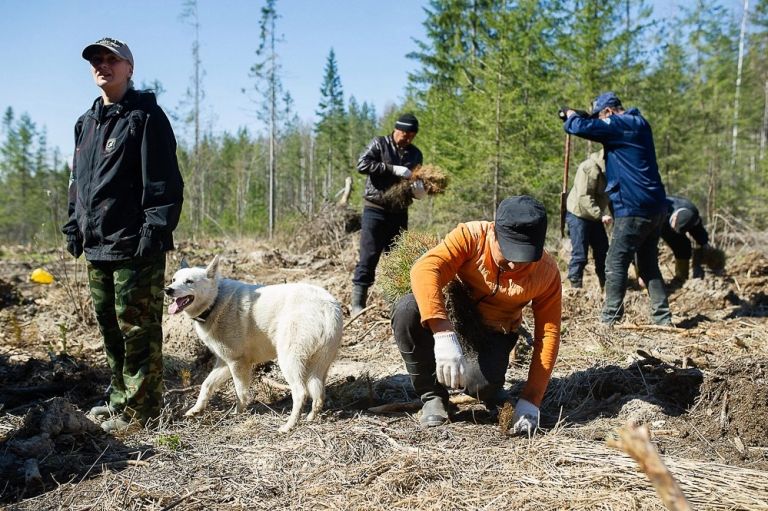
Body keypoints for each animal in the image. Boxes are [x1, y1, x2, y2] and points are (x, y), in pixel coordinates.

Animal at [166, 256, 344, 432]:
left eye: (189, 281)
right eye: (174, 279)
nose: (168, 290)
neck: (215, 300)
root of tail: (328, 307)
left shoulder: (237, 363)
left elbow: (240, 393)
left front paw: (237, 414)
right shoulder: (225, 362)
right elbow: (206, 385)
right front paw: (196, 410)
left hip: (288, 362)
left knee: (301, 393)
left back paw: (288, 426)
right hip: (319, 366)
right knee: (319, 394)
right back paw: (310, 418)